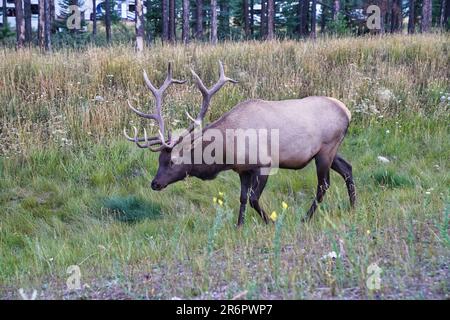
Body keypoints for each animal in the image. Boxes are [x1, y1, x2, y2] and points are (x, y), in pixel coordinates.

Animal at [123, 62, 356, 225]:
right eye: (158, 160)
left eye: (172, 161)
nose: (155, 183)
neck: (228, 151)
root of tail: (347, 111)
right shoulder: (242, 170)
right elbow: (243, 198)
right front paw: (239, 225)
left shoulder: (265, 164)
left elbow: (253, 199)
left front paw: (270, 222)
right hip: (331, 150)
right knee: (347, 168)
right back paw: (353, 208)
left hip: (326, 148)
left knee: (323, 184)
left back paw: (305, 218)